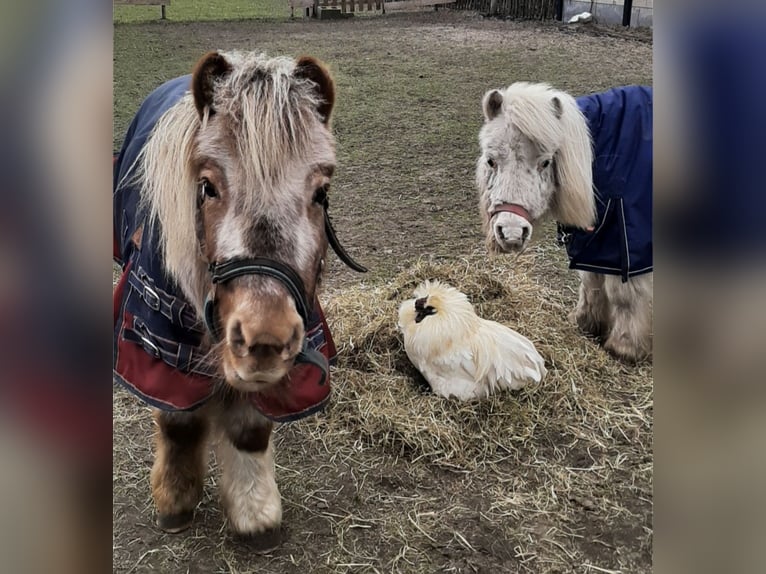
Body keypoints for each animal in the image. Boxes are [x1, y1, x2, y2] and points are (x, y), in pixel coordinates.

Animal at [125, 53, 344, 548]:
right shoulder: (160, 346)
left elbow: (249, 429)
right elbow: (178, 420)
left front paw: (255, 514)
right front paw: (175, 501)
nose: (266, 337)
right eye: (207, 186)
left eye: (321, 192)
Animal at [476, 82, 652, 364]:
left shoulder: (627, 242)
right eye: (491, 160)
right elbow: (591, 280)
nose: (511, 234)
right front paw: (586, 323)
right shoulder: (596, 240)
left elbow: (622, 293)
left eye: (546, 162)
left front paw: (624, 347)